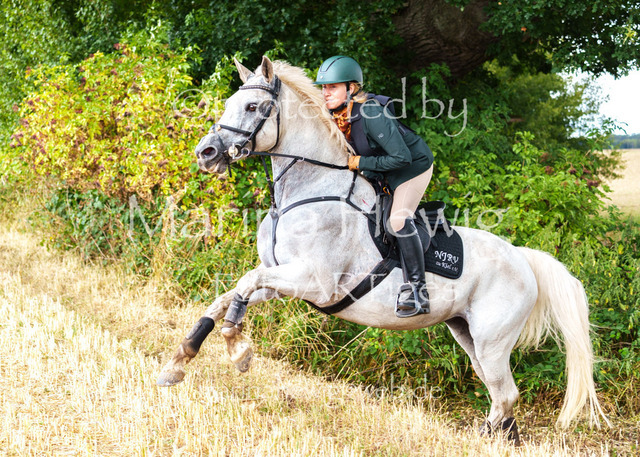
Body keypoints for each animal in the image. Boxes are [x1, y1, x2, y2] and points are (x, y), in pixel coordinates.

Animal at [157, 56, 608, 443]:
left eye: (252, 106)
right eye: (229, 103)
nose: (205, 153)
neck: (307, 190)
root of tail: (524, 258)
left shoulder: (316, 282)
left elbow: (244, 285)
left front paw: (237, 347)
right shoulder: (281, 279)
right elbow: (231, 293)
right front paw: (179, 361)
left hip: (492, 339)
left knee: (506, 394)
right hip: (467, 333)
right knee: (501, 394)